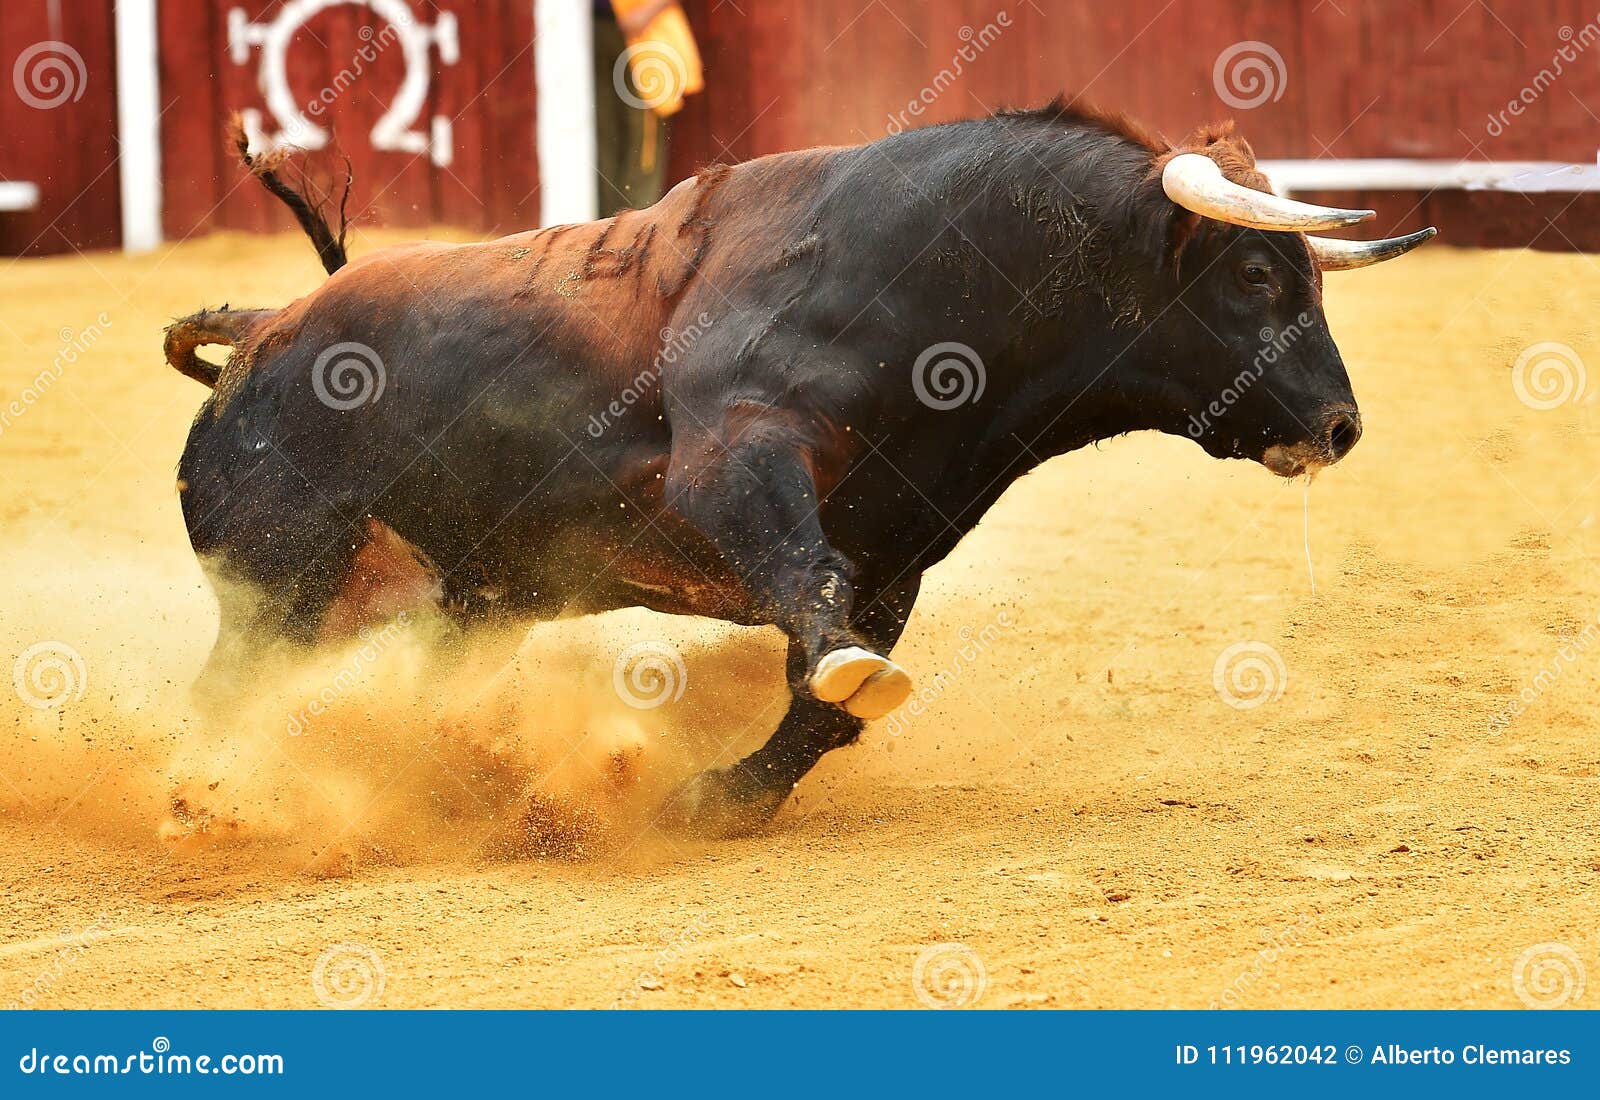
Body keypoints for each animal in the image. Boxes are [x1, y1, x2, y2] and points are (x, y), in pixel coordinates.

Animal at [164, 100, 1433, 837]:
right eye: (1256, 277)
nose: (1338, 425)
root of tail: (267, 331)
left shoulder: (899, 549)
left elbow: (821, 705)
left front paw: (714, 796)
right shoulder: (734, 453)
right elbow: (802, 583)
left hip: (469, 602)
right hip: (285, 582)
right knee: (225, 690)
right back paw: (199, 803)